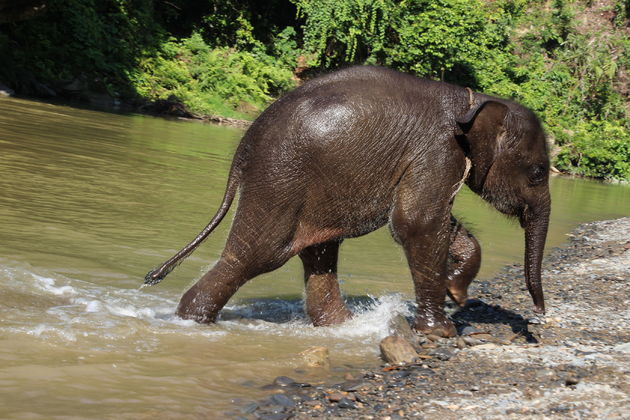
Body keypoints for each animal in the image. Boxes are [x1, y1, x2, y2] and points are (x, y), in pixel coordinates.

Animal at [146, 66, 552, 338]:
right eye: (537, 173)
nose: (540, 313)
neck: (473, 101)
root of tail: (242, 149)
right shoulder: (437, 151)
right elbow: (416, 222)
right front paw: (442, 332)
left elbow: (431, 221)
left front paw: (457, 291)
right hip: (278, 177)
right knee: (254, 257)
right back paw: (192, 321)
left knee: (319, 253)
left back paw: (341, 327)